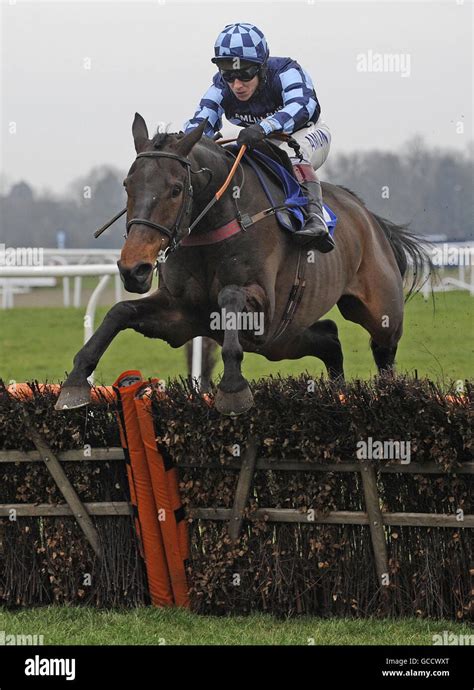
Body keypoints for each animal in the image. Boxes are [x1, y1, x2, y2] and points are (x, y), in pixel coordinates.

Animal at [54, 114, 430, 414]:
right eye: (127, 185)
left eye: (176, 189)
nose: (135, 268)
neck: (211, 226)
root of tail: (369, 216)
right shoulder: (181, 316)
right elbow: (119, 312)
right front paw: (75, 381)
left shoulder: (265, 312)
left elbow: (230, 296)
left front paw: (233, 388)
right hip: (284, 340)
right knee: (330, 339)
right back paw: (337, 395)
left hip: (376, 311)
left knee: (383, 350)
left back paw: (392, 395)